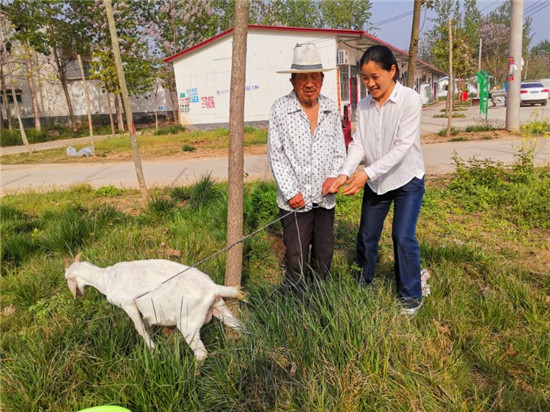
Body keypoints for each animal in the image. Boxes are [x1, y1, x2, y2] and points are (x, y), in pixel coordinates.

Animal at [64, 254, 244, 360]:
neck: (105, 279)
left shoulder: (128, 303)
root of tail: (213, 288)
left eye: (66, 278)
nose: (78, 295)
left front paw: (153, 349)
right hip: (220, 307)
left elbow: (139, 327)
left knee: (201, 353)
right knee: (240, 326)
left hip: (188, 323)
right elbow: (146, 324)